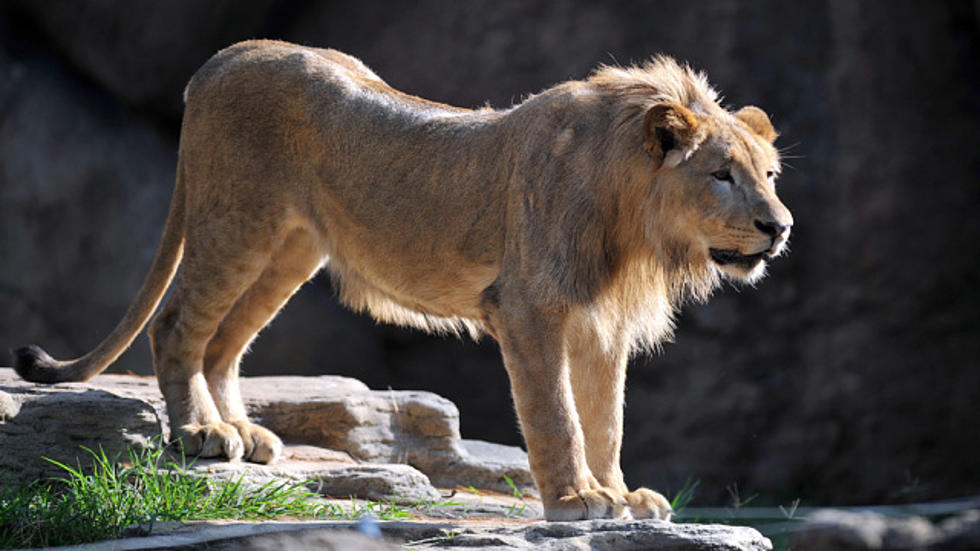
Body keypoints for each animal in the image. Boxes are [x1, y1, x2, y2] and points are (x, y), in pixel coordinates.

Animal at [13, 38, 788, 520]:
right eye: (721, 175)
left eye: (770, 175)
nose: (779, 227)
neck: (634, 224)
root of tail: (221, 60)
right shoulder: (528, 306)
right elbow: (557, 417)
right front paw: (575, 501)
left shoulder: (601, 324)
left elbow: (607, 421)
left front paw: (622, 498)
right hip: (235, 223)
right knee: (177, 322)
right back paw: (202, 432)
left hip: (290, 249)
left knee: (224, 341)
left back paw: (242, 429)